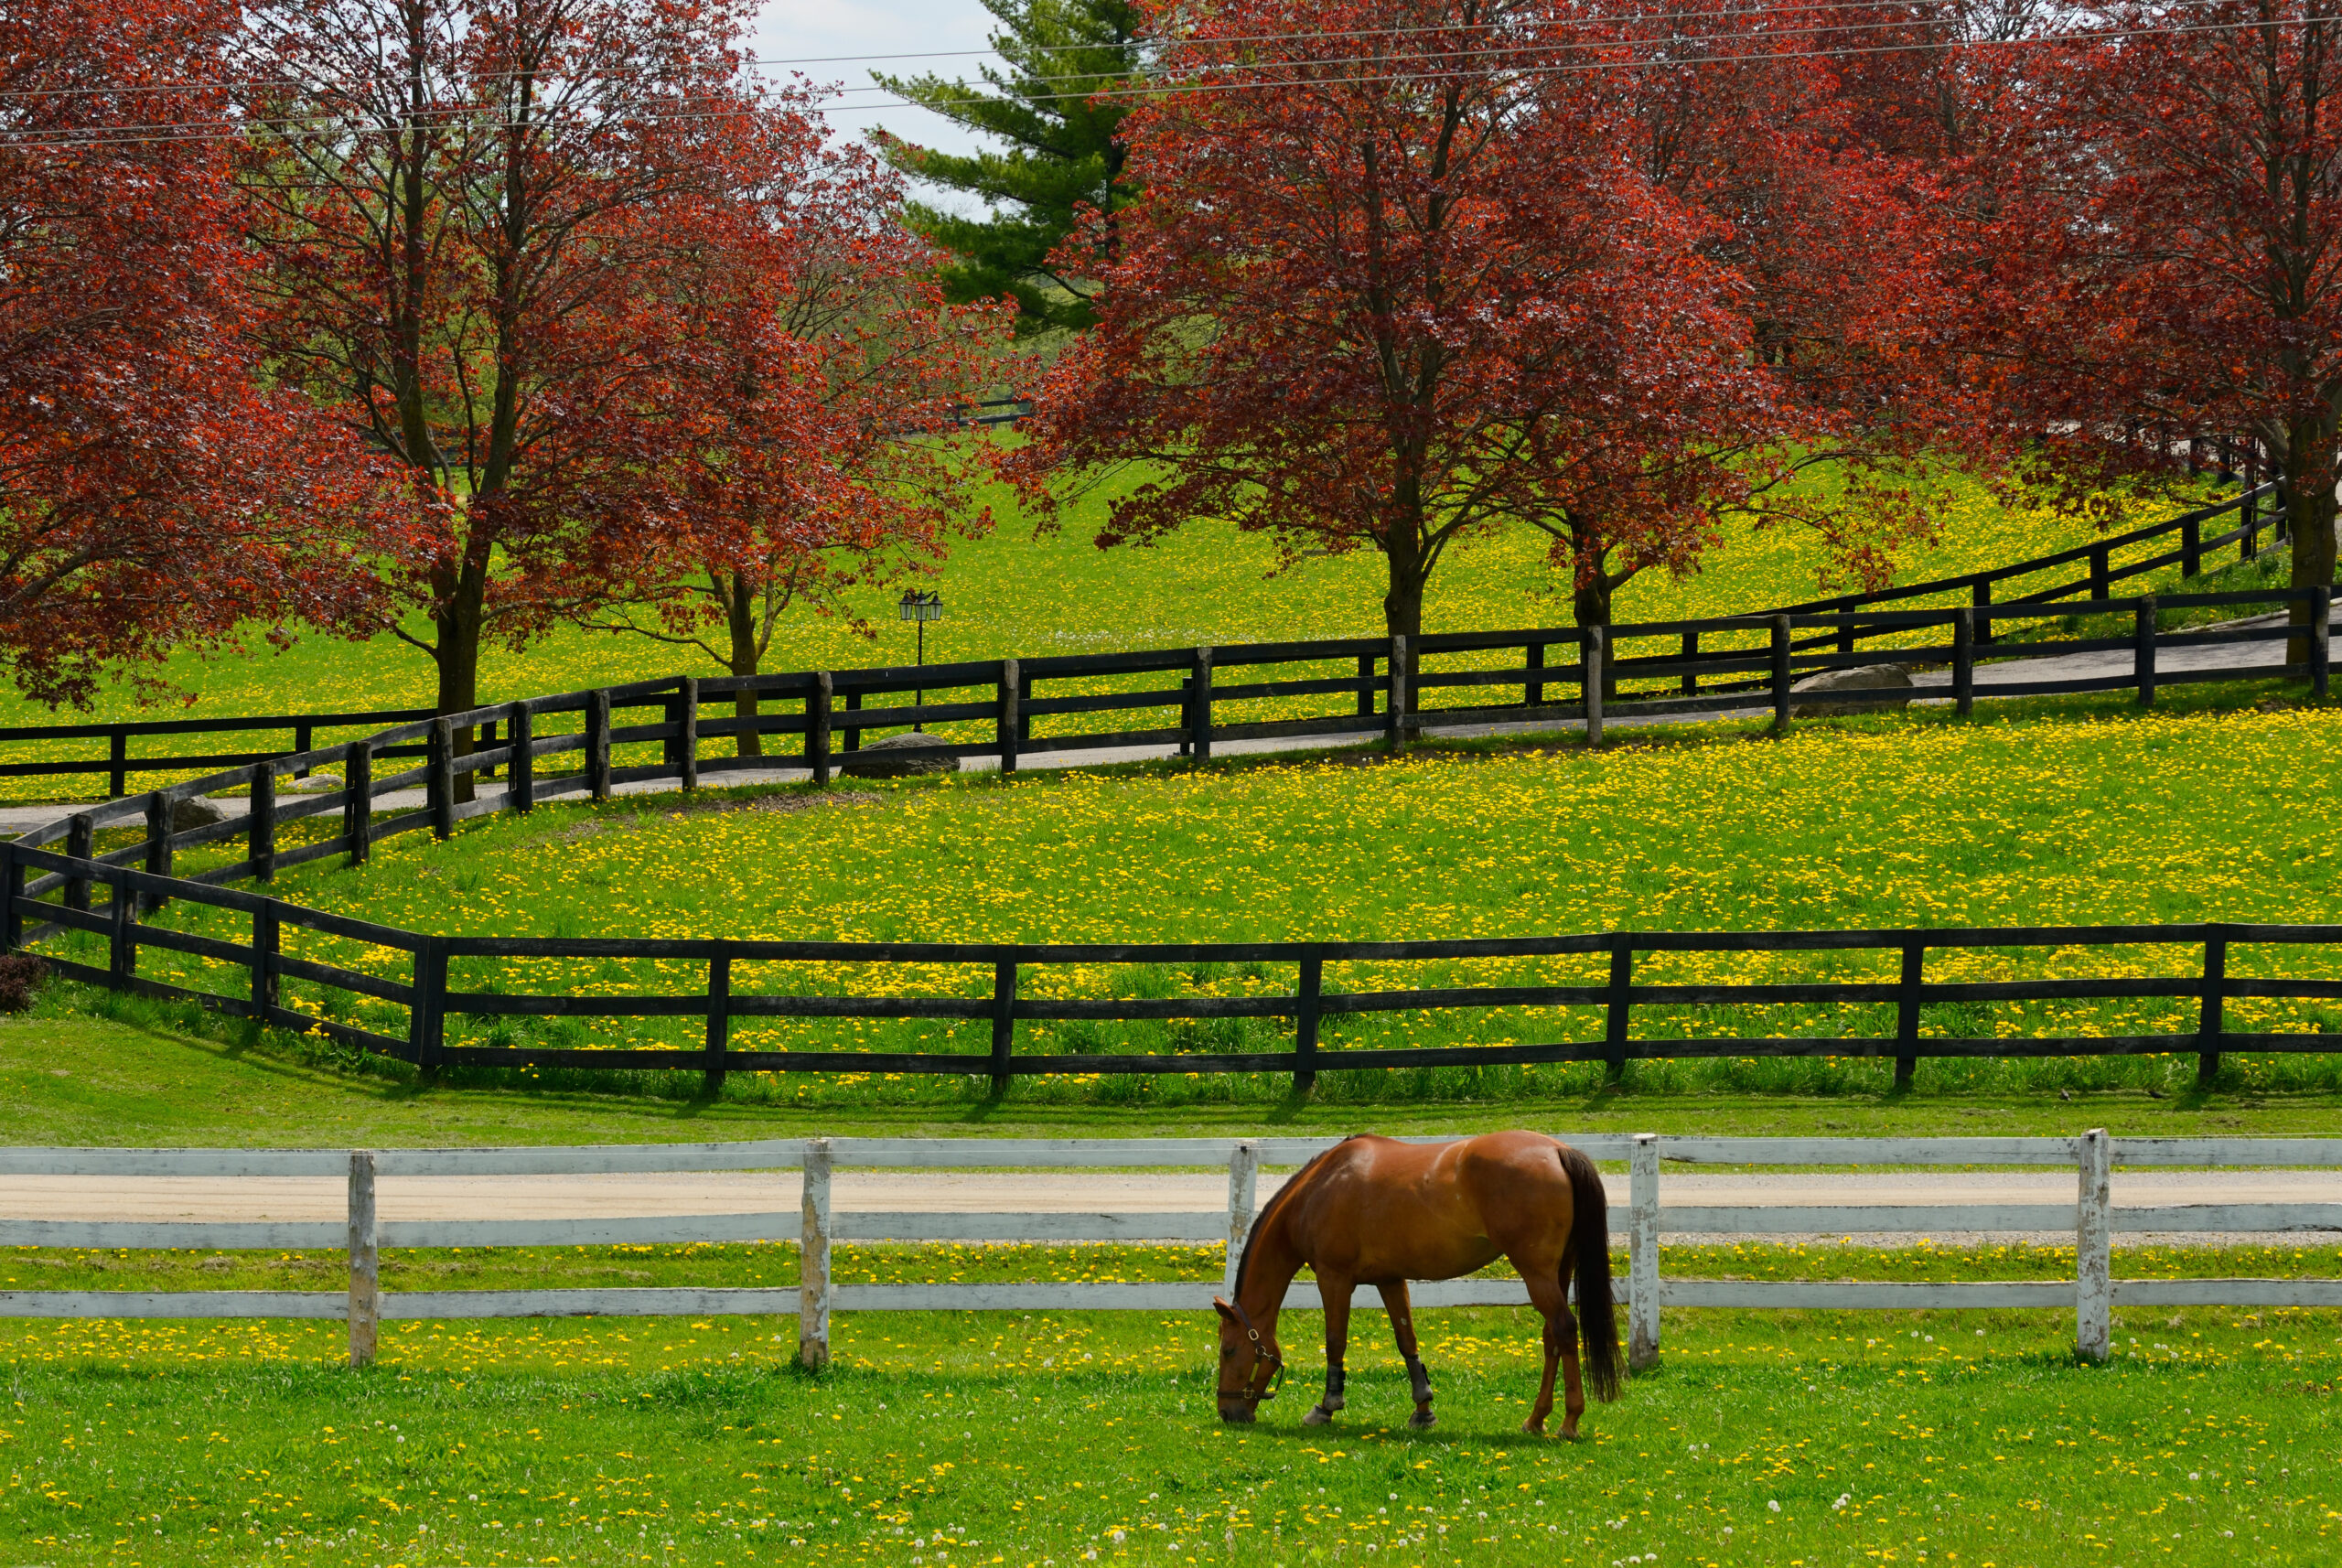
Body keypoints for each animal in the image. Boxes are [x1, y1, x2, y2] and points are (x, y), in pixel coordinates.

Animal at [1212, 1131, 1621, 1437]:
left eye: (1229, 1351)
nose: (1227, 1412)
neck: (1322, 1188)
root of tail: (1559, 1150)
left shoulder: (1334, 1279)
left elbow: (1335, 1342)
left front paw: (1326, 1407)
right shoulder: (1390, 1279)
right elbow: (1407, 1341)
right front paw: (1423, 1409)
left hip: (1536, 1273)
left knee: (1564, 1329)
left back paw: (1569, 1421)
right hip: (1557, 1273)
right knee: (1552, 1336)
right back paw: (1536, 1419)